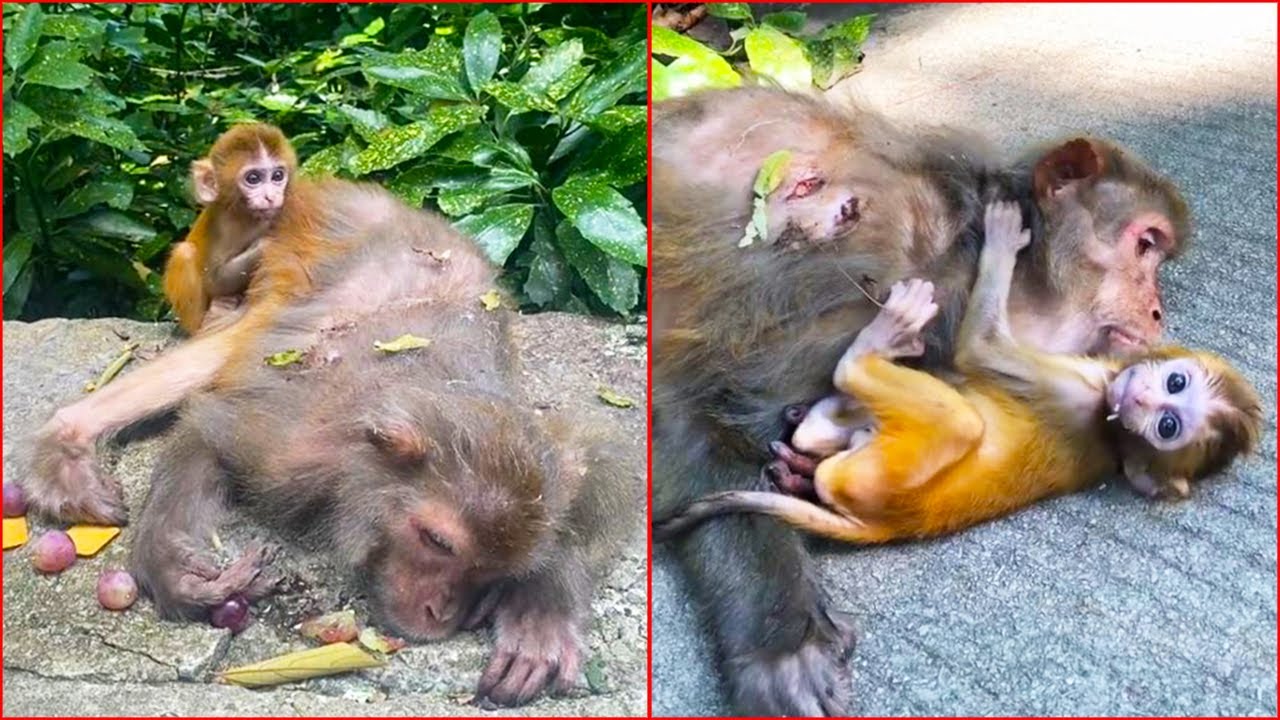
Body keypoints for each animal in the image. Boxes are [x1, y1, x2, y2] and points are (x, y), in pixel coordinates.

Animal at [162, 123, 299, 335]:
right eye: (253, 178)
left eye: (278, 176)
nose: (271, 196)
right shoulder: (223, 224)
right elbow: (216, 280)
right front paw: (267, 242)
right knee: (184, 253)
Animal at [651, 86, 1191, 716]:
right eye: (1145, 244)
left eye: (1159, 256)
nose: (1157, 311)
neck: (976, 253)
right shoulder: (884, 288)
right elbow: (690, 411)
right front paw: (782, 641)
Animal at [654, 203, 1262, 543]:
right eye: (1175, 385)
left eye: (1167, 428)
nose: (1140, 401)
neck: (1113, 427)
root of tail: (888, 527)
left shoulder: (1075, 386)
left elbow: (978, 348)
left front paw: (1001, 242)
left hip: (883, 471)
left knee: (950, 419)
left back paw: (880, 344)